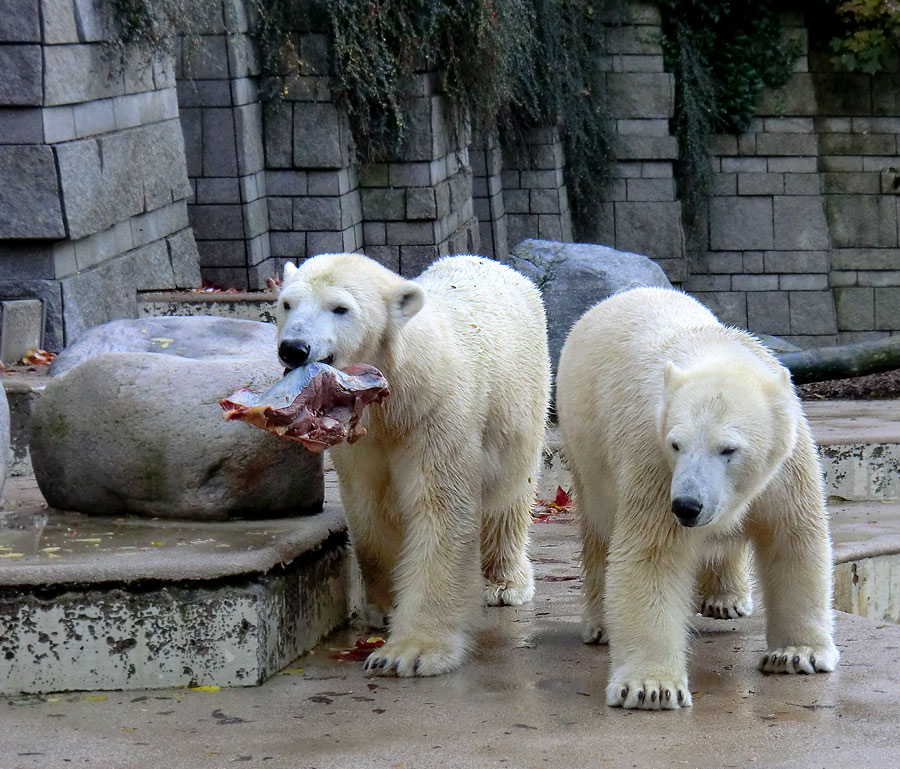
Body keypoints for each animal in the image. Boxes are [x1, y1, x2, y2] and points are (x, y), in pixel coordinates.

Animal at [278, 252, 552, 672]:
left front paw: (409, 651)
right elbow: (370, 508)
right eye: (286, 304)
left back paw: (504, 582)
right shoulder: (360, 437)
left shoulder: (436, 412)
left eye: (340, 308)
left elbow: (439, 508)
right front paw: (387, 607)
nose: (293, 348)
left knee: (510, 489)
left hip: (522, 395)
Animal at [560, 286, 840, 708]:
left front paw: (796, 654)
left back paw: (727, 599)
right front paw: (652, 687)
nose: (688, 506)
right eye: (677, 444)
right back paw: (600, 623)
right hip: (587, 451)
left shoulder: (785, 466)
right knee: (598, 528)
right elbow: (651, 555)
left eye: (728, 449)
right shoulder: (654, 461)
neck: (715, 351)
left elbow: (791, 537)